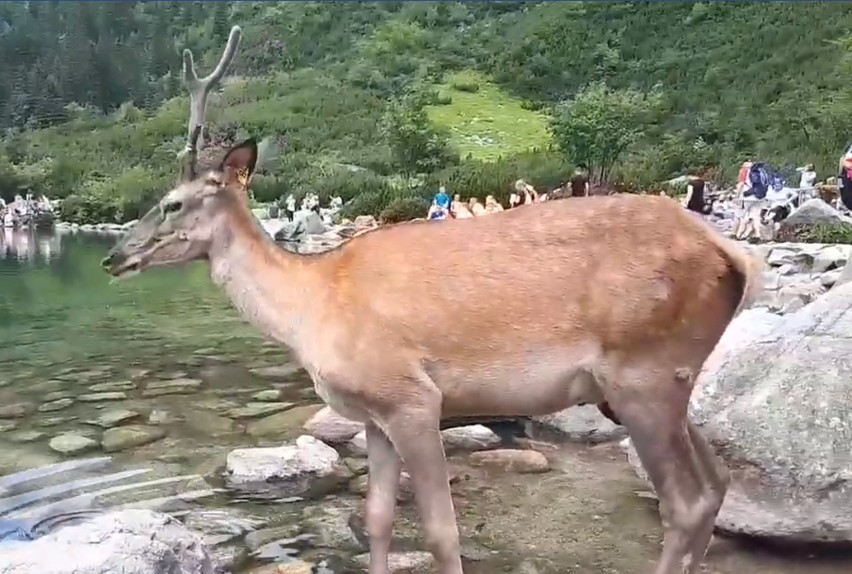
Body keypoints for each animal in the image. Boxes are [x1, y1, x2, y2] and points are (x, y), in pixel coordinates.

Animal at [103, 24, 764, 574]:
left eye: (173, 203)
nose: (113, 256)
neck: (310, 308)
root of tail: (733, 256)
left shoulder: (412, 396)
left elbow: (443, 533)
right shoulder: (371, 416)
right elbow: (376, 521)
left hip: (641, 371)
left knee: (685, 502)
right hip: (656, 381)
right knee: (717, 484)